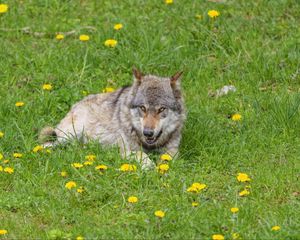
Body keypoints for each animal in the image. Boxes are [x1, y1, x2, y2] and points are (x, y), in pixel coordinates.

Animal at [39, 67, 185, 169]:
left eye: (161, 109)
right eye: (143, 108)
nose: (148, 133)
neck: (150, 145)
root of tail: (76, 104)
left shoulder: (172, 150)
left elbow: (167, 157)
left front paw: (162, 166)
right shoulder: (126, 150)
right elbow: (141, 154)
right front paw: (149, 166)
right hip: (67, 135)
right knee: (46, 144)